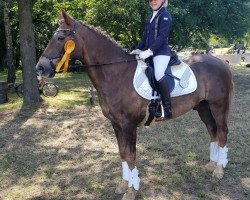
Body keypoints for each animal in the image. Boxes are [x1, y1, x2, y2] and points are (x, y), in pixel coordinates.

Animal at [35, 11, 234, 200]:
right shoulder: (116, 124)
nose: (40, 68)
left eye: (61, 38)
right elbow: (123, 153)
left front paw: (131, 191)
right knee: (212, 131)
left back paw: (219, 169)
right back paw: (211, 165)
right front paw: (123, 185)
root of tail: (222, 63)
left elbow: (131, 156)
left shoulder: (128, 125)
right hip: (203, 107)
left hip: (218, 106)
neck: (117, 73)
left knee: (222, 132)